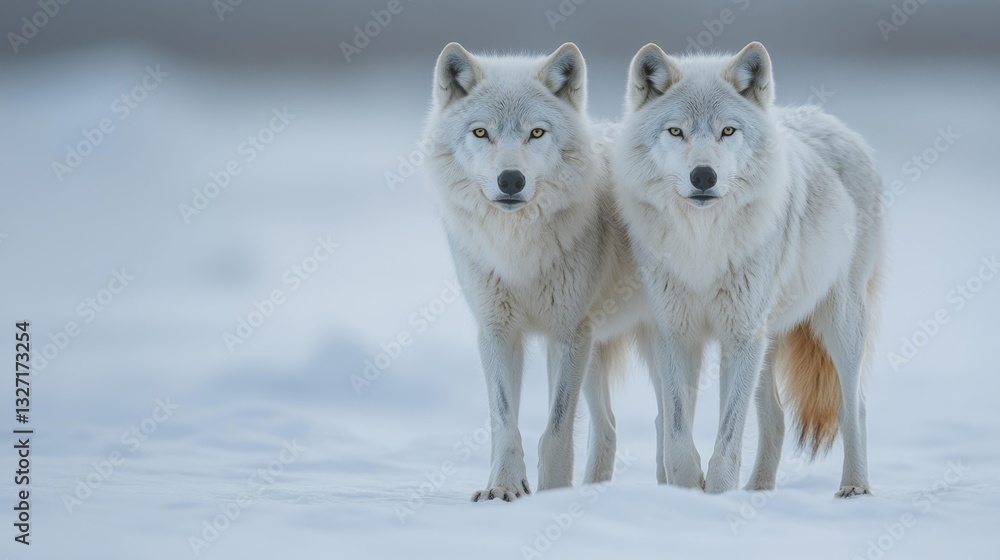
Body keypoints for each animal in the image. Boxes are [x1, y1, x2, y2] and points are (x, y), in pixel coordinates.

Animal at [422, 42, 653, 501]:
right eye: (481, 133)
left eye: (537, 133)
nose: (511, 180)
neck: (518, 252)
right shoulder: (498, 331)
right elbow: (505, 420)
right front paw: (503, 489)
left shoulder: (566, 334)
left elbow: (556, 429)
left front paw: (551, 494)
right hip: (597, 351)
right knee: (609, 428)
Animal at [614, 42, 884, 497]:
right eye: (676, 132)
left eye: (727, 131)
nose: (703, 176)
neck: (703, 245)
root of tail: (830, 120)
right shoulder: (676, 334)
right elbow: (677, 434)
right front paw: (686, 493)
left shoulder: (739, 336)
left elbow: (727, 440)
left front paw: (718, 496)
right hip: (767, 341)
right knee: (775, 418)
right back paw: (759, 490)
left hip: (837, 326)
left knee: (857, 408)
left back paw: (855, 487)